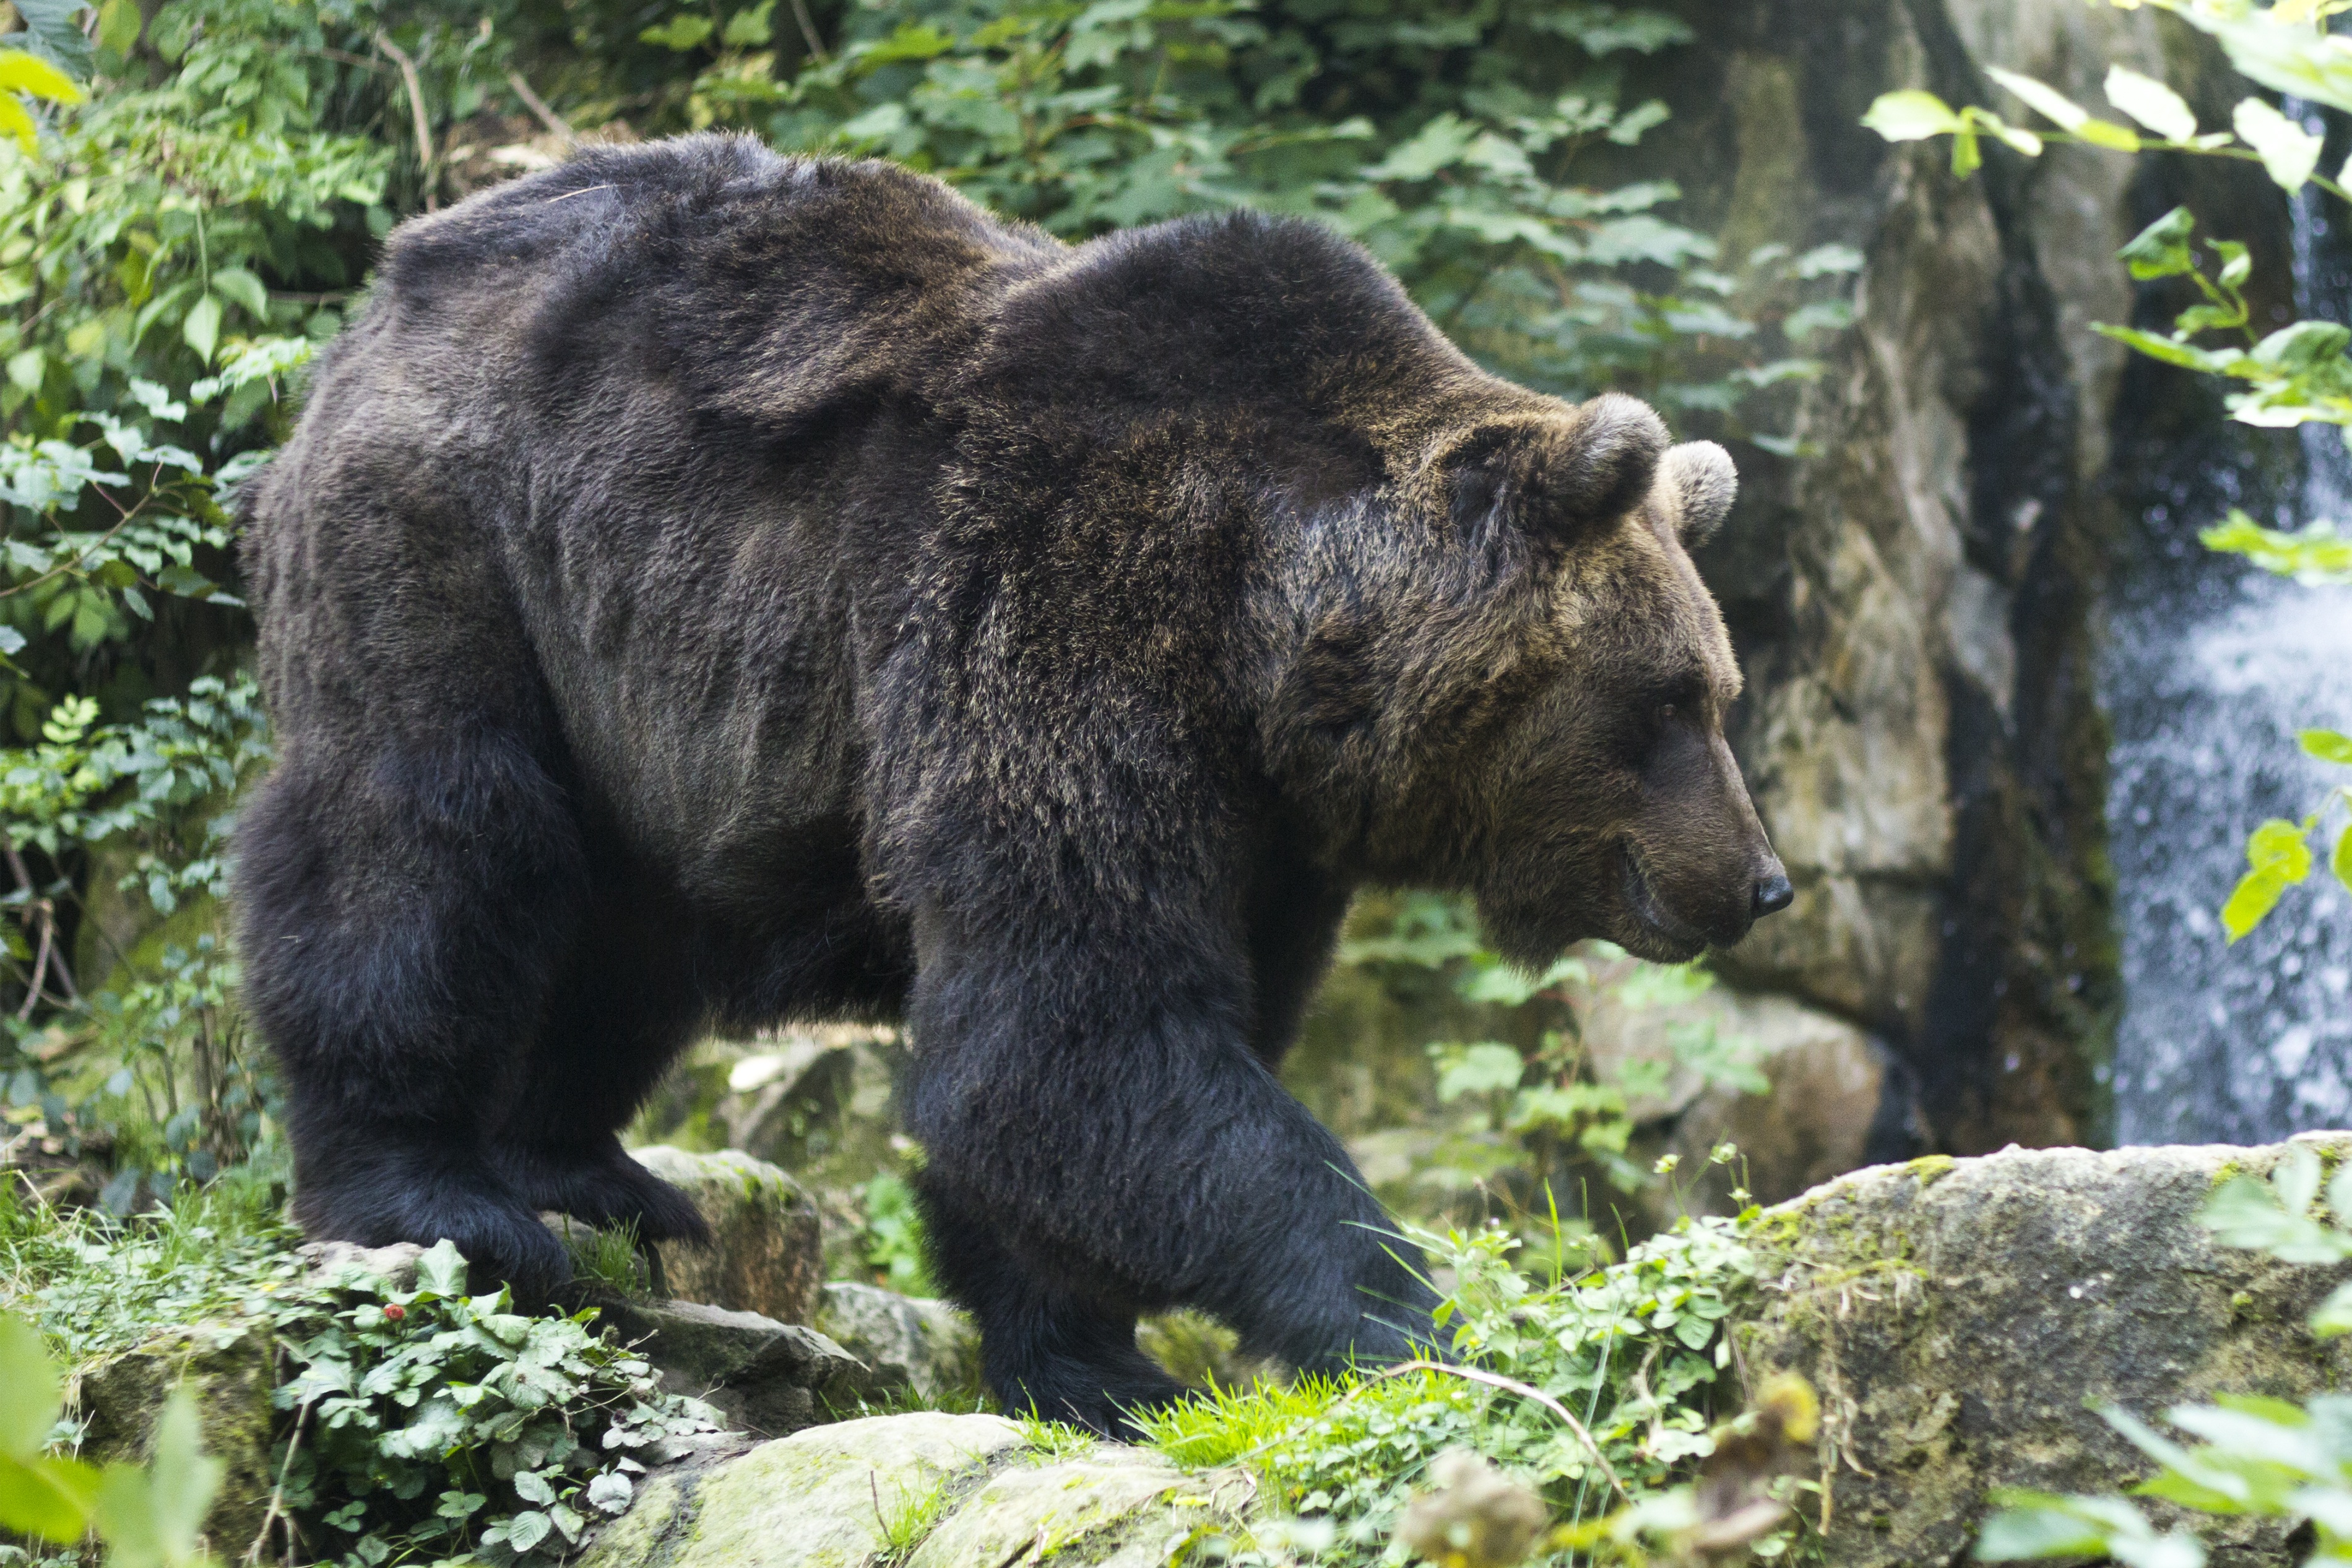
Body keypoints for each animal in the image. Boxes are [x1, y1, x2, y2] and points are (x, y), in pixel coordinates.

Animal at [234, 131, 1778, 1439]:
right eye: (1667, 700)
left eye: (1718, 692)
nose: (1759, 880)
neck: (1267, 642)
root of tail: (401, 271)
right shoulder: (1055, 624)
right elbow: (1064, 1029)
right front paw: (1413, 1319)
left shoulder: (1262, 834)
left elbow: (1114, 1070)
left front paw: (1096, 1364)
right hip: (466, 542)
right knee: (427, 833)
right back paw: (436, 1192)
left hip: (635, 697)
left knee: (630, 930)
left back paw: (595, 1170)